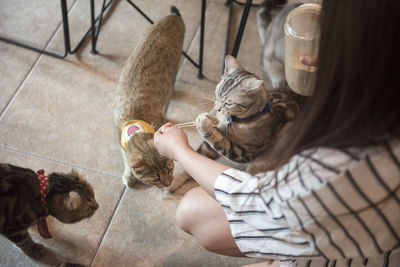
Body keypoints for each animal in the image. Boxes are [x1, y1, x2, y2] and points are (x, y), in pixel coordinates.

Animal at [112, 6, 184, 191]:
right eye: (155, 179)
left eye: (169, 169)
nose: (168, 184)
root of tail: (173, 18)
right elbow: (126, 159)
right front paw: (129, 174)